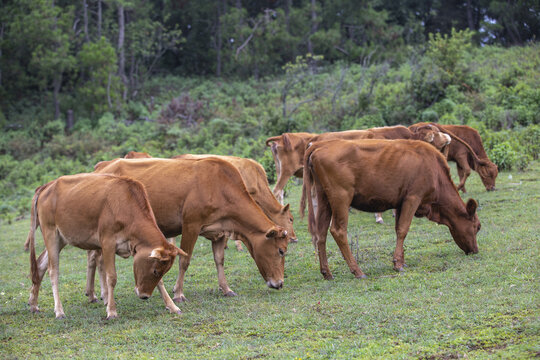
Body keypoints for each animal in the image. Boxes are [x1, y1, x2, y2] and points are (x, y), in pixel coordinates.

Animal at [93, 159, 288, 302]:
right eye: (281, 251)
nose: (279, 283)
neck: (220, 186)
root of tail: (103, 165)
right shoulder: (190, 225)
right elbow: (184, 261)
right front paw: (178, 293)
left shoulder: (220, 231)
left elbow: (219, 260)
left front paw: (226, 288)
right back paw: (101, 295)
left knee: (97, 259)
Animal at [300, 139, 480, 280]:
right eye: (477, 227)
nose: (475, 250)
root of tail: (322, 144)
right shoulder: (413, 198)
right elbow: (403, 229)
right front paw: (398, 265)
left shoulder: (400, 203)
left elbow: (398, 229)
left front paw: (402, 261)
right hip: (341, 198)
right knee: (338, 231)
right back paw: (358, 271)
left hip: (324, 199)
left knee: (321, 233)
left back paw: (327, 273)